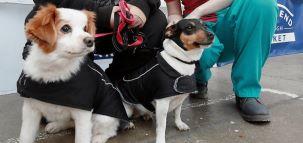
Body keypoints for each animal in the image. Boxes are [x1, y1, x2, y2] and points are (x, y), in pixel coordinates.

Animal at [16, 4, 128, 143]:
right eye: (65, 28)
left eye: (85, 28)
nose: (90, 40)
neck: (56, 67)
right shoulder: (30, 110)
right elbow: (25, 136)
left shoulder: (83, 113)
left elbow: (82, 138)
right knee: (70, 122)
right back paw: (56, 125)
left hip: (103, 117)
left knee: (110, 130)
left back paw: (98, 138)